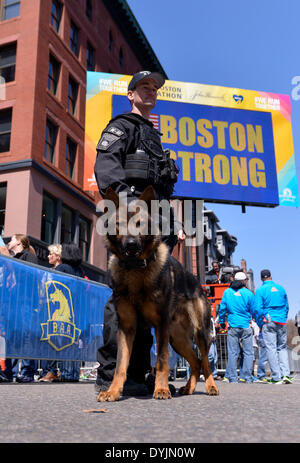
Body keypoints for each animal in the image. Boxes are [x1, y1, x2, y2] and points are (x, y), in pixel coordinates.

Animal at [98, 186, 218, 402]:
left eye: (140, 224)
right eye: (120, 224)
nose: (131, 244)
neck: (135, 270)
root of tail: (197, 282)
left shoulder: (161, 325)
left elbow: (162, 360)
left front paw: (161, 389)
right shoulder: (127, 328)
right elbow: (120, 365)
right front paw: (113, 391)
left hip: (200, 334)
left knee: (205, 362)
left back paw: (211, 386)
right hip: (177, 339)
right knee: (195, 362)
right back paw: (188, 388)